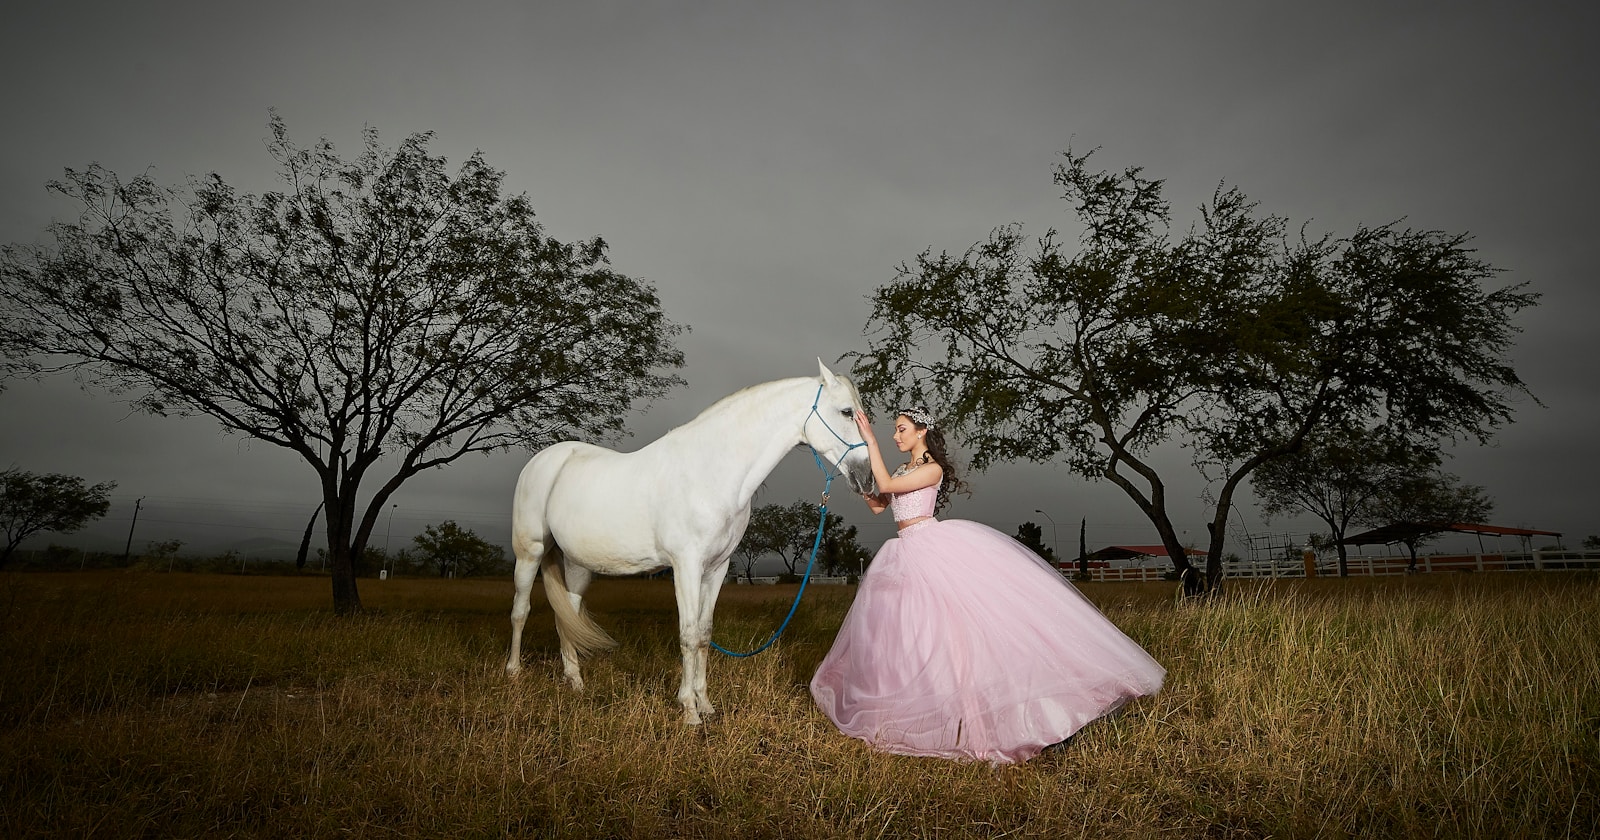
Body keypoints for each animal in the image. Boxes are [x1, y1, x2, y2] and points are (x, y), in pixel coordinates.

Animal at [505, 360, 876, 724]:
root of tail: (544, 460)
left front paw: (705, 704)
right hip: (530, 552)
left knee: (567, 614)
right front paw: (689, 712)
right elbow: (687, 634)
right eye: (846, 412)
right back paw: (513, 673)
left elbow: (703, 634)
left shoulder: (716, 569)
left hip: (578, 565)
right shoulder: (686, 566)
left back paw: (575, 681)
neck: (711, 471)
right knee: (521, 610)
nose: (868, 479)